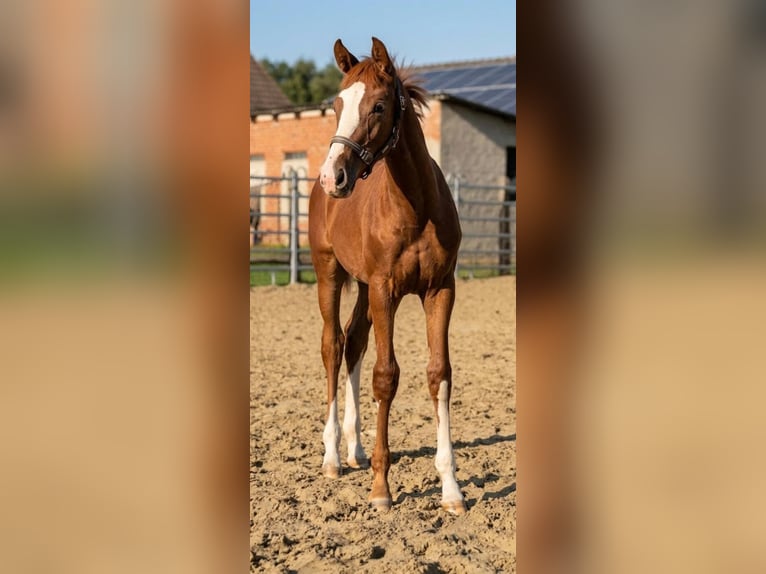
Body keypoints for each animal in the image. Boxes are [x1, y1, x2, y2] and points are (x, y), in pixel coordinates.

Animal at [308, 37, 465, 514]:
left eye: (378, 106)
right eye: (337, 104)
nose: (333, 177)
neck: (416, 206)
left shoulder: (440, 290)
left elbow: (439, 374)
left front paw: (451, 488)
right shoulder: (385, 290)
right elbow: (386, 376)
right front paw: (381, 487)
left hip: (361, 284)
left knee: (354, 341)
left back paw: (354, 449)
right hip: (329, 272)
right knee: (332, 345)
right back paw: (332, 456)